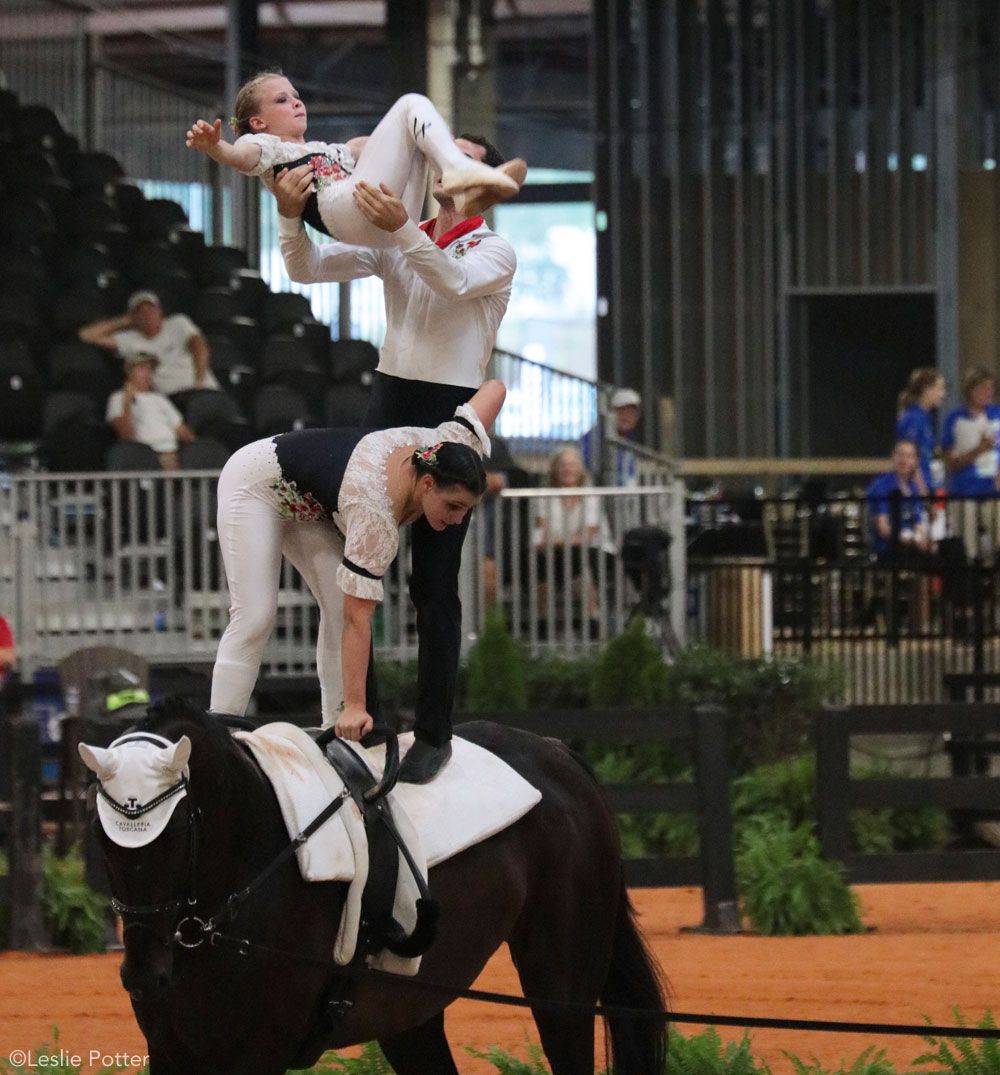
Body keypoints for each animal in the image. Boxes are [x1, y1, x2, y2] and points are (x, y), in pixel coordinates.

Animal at [81, 696, 666, 1075]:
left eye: (180, 830)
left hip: (562, 991)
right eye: (103, 837)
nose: (143, 976)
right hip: (408, 1013)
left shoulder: (258, 1053)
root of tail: (556, 751)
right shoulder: (170, 1052)